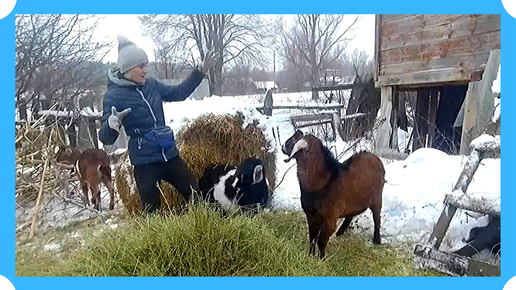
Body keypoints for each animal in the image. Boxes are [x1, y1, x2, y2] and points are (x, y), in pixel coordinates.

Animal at [280, 130, 384, 260]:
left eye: (294, 139)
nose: (282, 147)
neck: (322, 182)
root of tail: (375, 157)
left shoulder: (330, 218)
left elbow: (321, 240)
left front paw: (322, 259)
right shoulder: (311, 215)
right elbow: (312, 238)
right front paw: (310, 256)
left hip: (377, 197)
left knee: (377, 218)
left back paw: (377, 240)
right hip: (354, 201)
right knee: (350, 215)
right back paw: (340, 232)